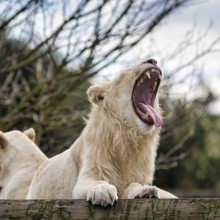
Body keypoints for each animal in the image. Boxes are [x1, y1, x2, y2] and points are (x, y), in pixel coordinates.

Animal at [26, 58, 177, 206]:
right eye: (128, 70)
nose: (153, 61)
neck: (127, 138)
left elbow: (134, 184)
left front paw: (144, 191)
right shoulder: (87, 173)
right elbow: (97, 181)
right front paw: (103, 191)